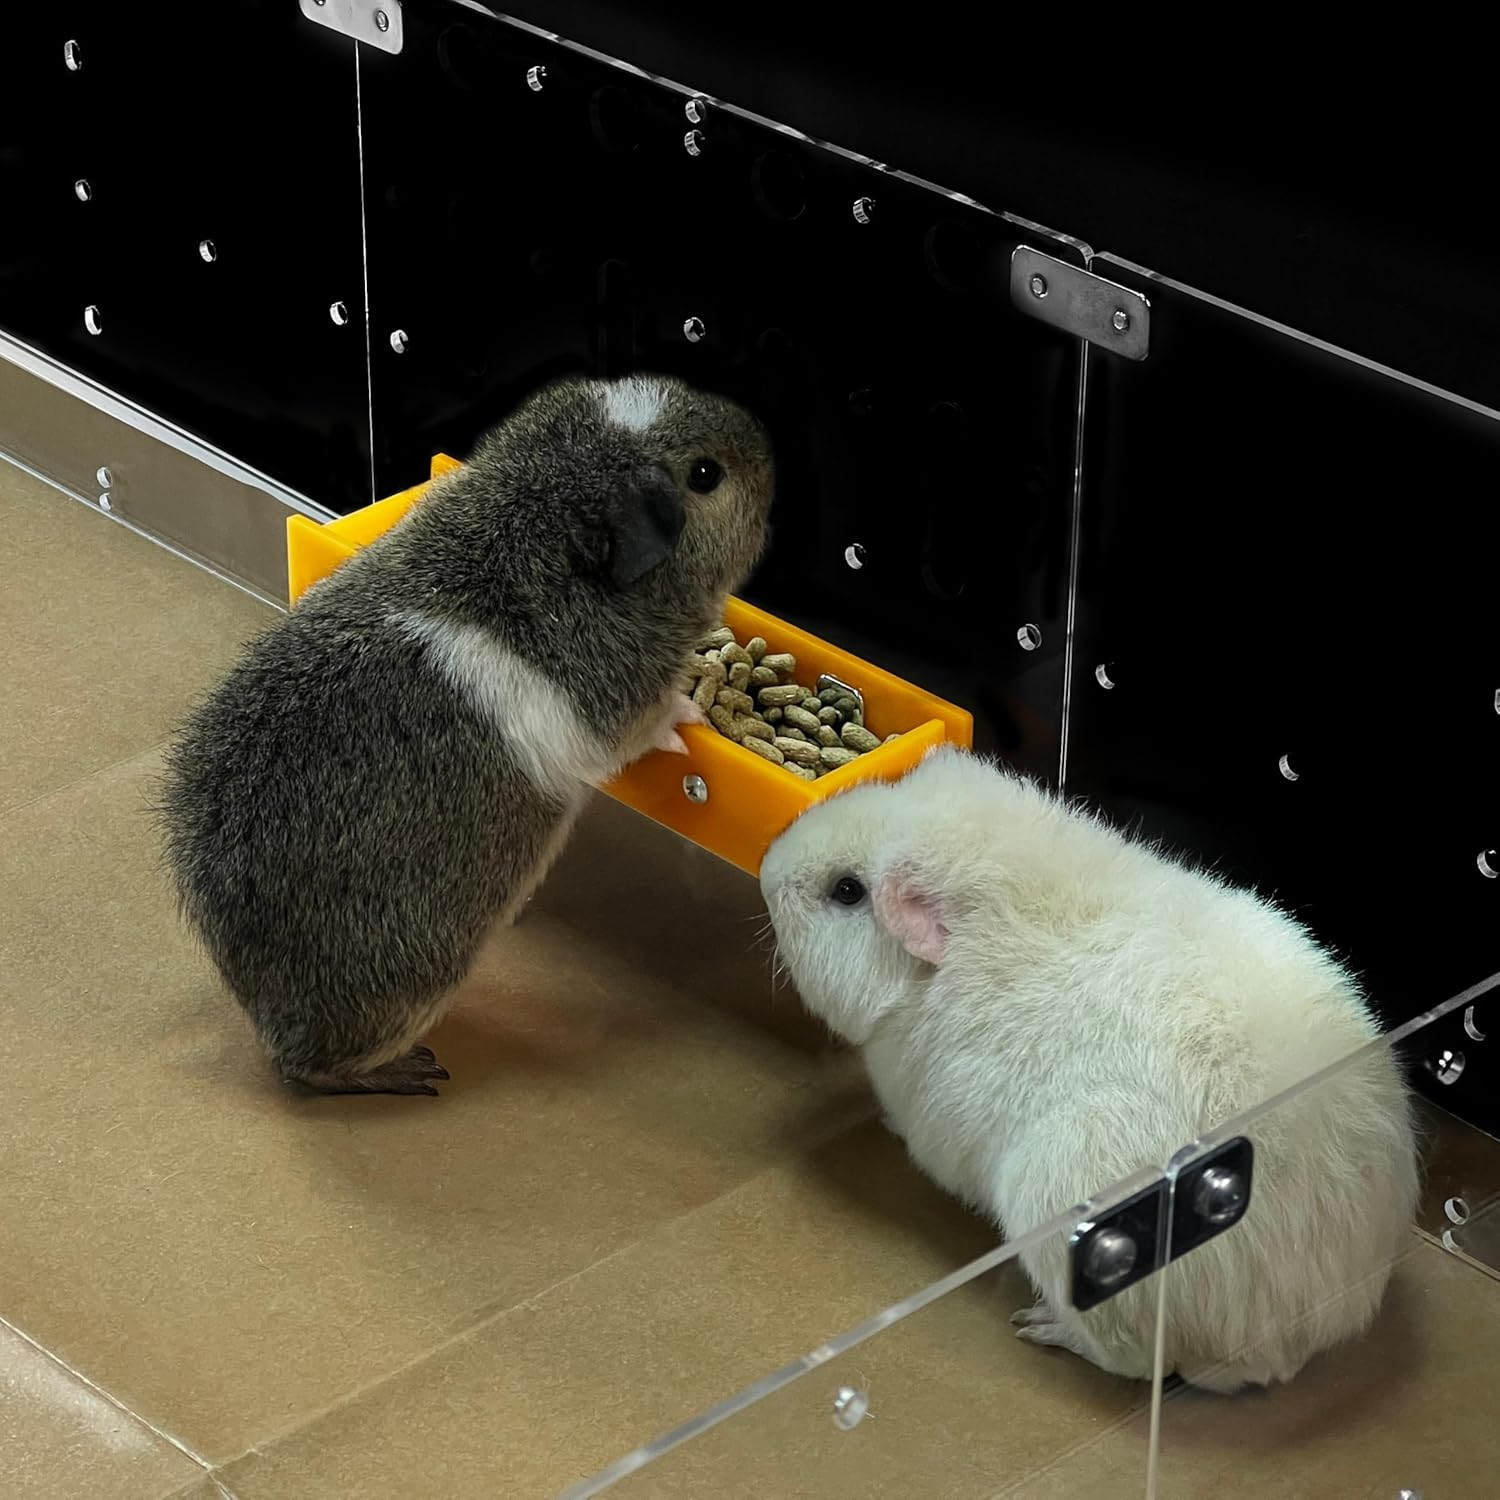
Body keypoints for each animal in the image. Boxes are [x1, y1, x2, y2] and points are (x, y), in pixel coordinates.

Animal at [160, 373, 773, 1095]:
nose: (764, 441)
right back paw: (415, 1073)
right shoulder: (620, 710)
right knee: (314, 1072)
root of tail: (256, 1000)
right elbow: (649, 723)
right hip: (418, 983)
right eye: (705, 475)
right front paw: (688, 718)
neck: (525, 535)